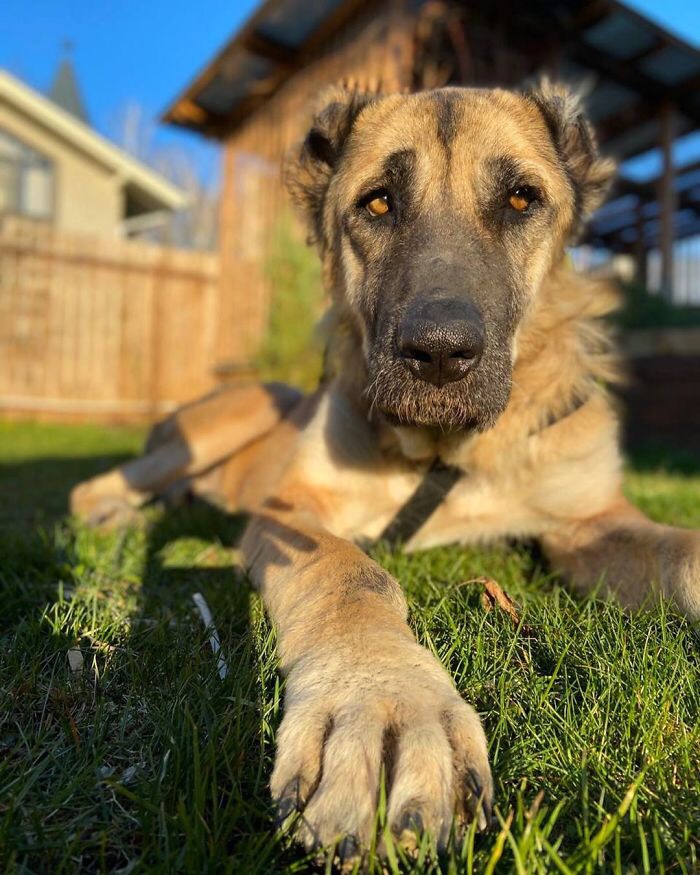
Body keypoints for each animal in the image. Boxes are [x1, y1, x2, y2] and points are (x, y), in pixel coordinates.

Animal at [72, 78, 700, 860]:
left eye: (521, 199)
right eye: (377, 203)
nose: (439, 354)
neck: (449, 449)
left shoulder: (588, 520)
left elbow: (681, 548)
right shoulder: (295, 512)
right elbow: (351, 571)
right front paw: (381, 698)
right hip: (228, 419)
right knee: (100, 483)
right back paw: (116, 512)